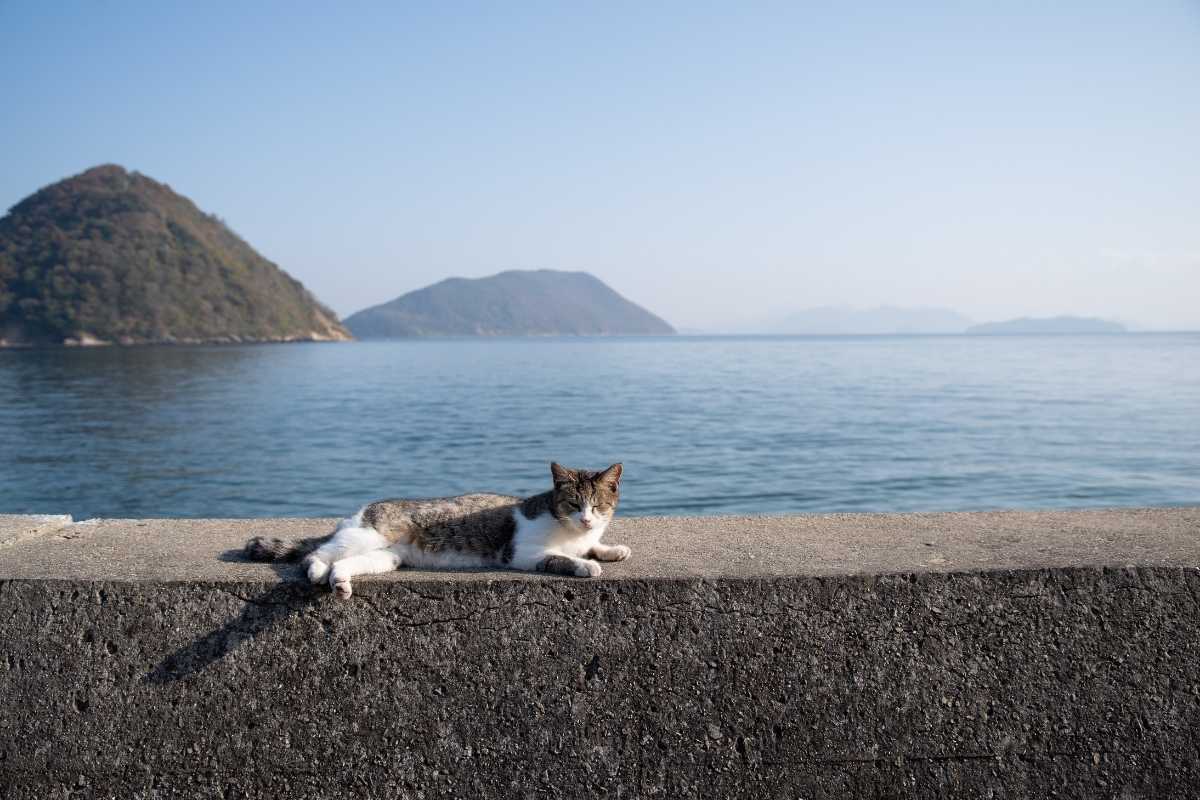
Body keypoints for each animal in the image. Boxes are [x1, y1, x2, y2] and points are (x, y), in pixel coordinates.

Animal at [244, 462, 628, 599]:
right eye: (573, 505)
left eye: (597, 506)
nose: (586, 520)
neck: (573, 533)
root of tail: (357, 513)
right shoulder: (522, 553)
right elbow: (560, 558)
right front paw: (585, 565)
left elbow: (594, 546)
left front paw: (610, 549)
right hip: (368, 535)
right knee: (316, 553)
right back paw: (316, 570)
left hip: (384, 557)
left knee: (343, 564)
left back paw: (339, 583)